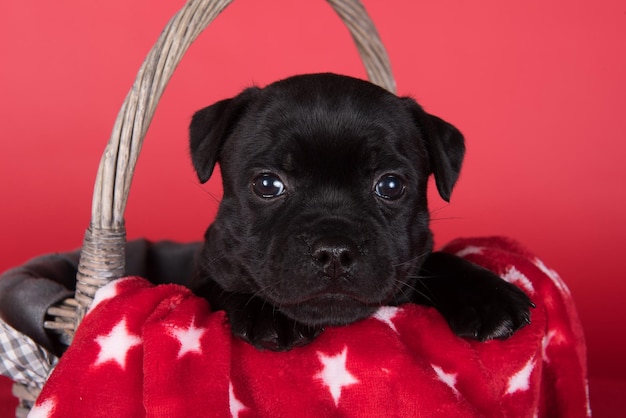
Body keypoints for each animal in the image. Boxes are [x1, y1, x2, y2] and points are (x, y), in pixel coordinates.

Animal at [188, 73, 528, 352]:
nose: (334, 251)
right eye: (267, 184)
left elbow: (437, 259)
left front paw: (487, 294)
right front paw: (267, 314)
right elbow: (222, 288)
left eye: (390, 185)